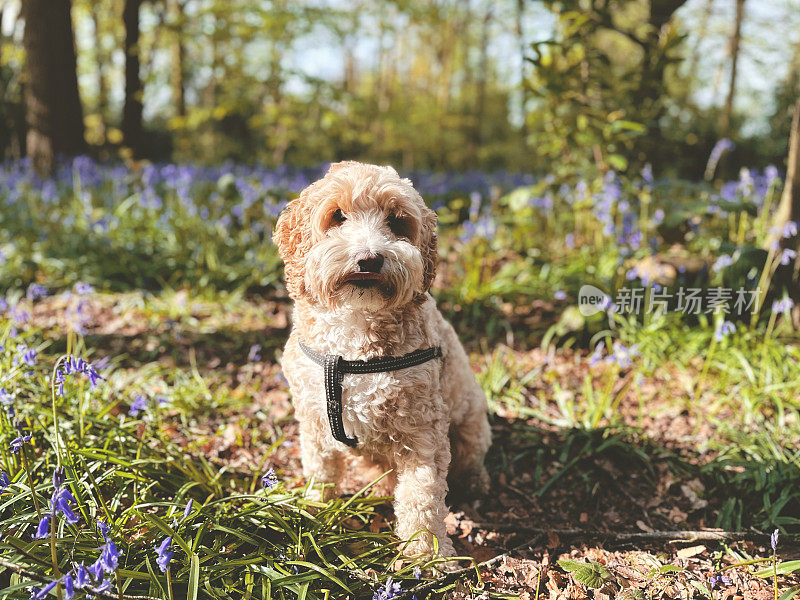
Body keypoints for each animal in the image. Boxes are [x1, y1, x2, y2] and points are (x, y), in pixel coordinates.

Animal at [272, 161, 490, 556]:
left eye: (396, 221)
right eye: (337, 215)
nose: (370, 258)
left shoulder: (423, 432)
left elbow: (422, 496)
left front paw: (427, 555)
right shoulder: (313, 424)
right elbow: (320, 473)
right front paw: (313, 515)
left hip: (471, 424)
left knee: (471, 460)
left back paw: (476, 482)